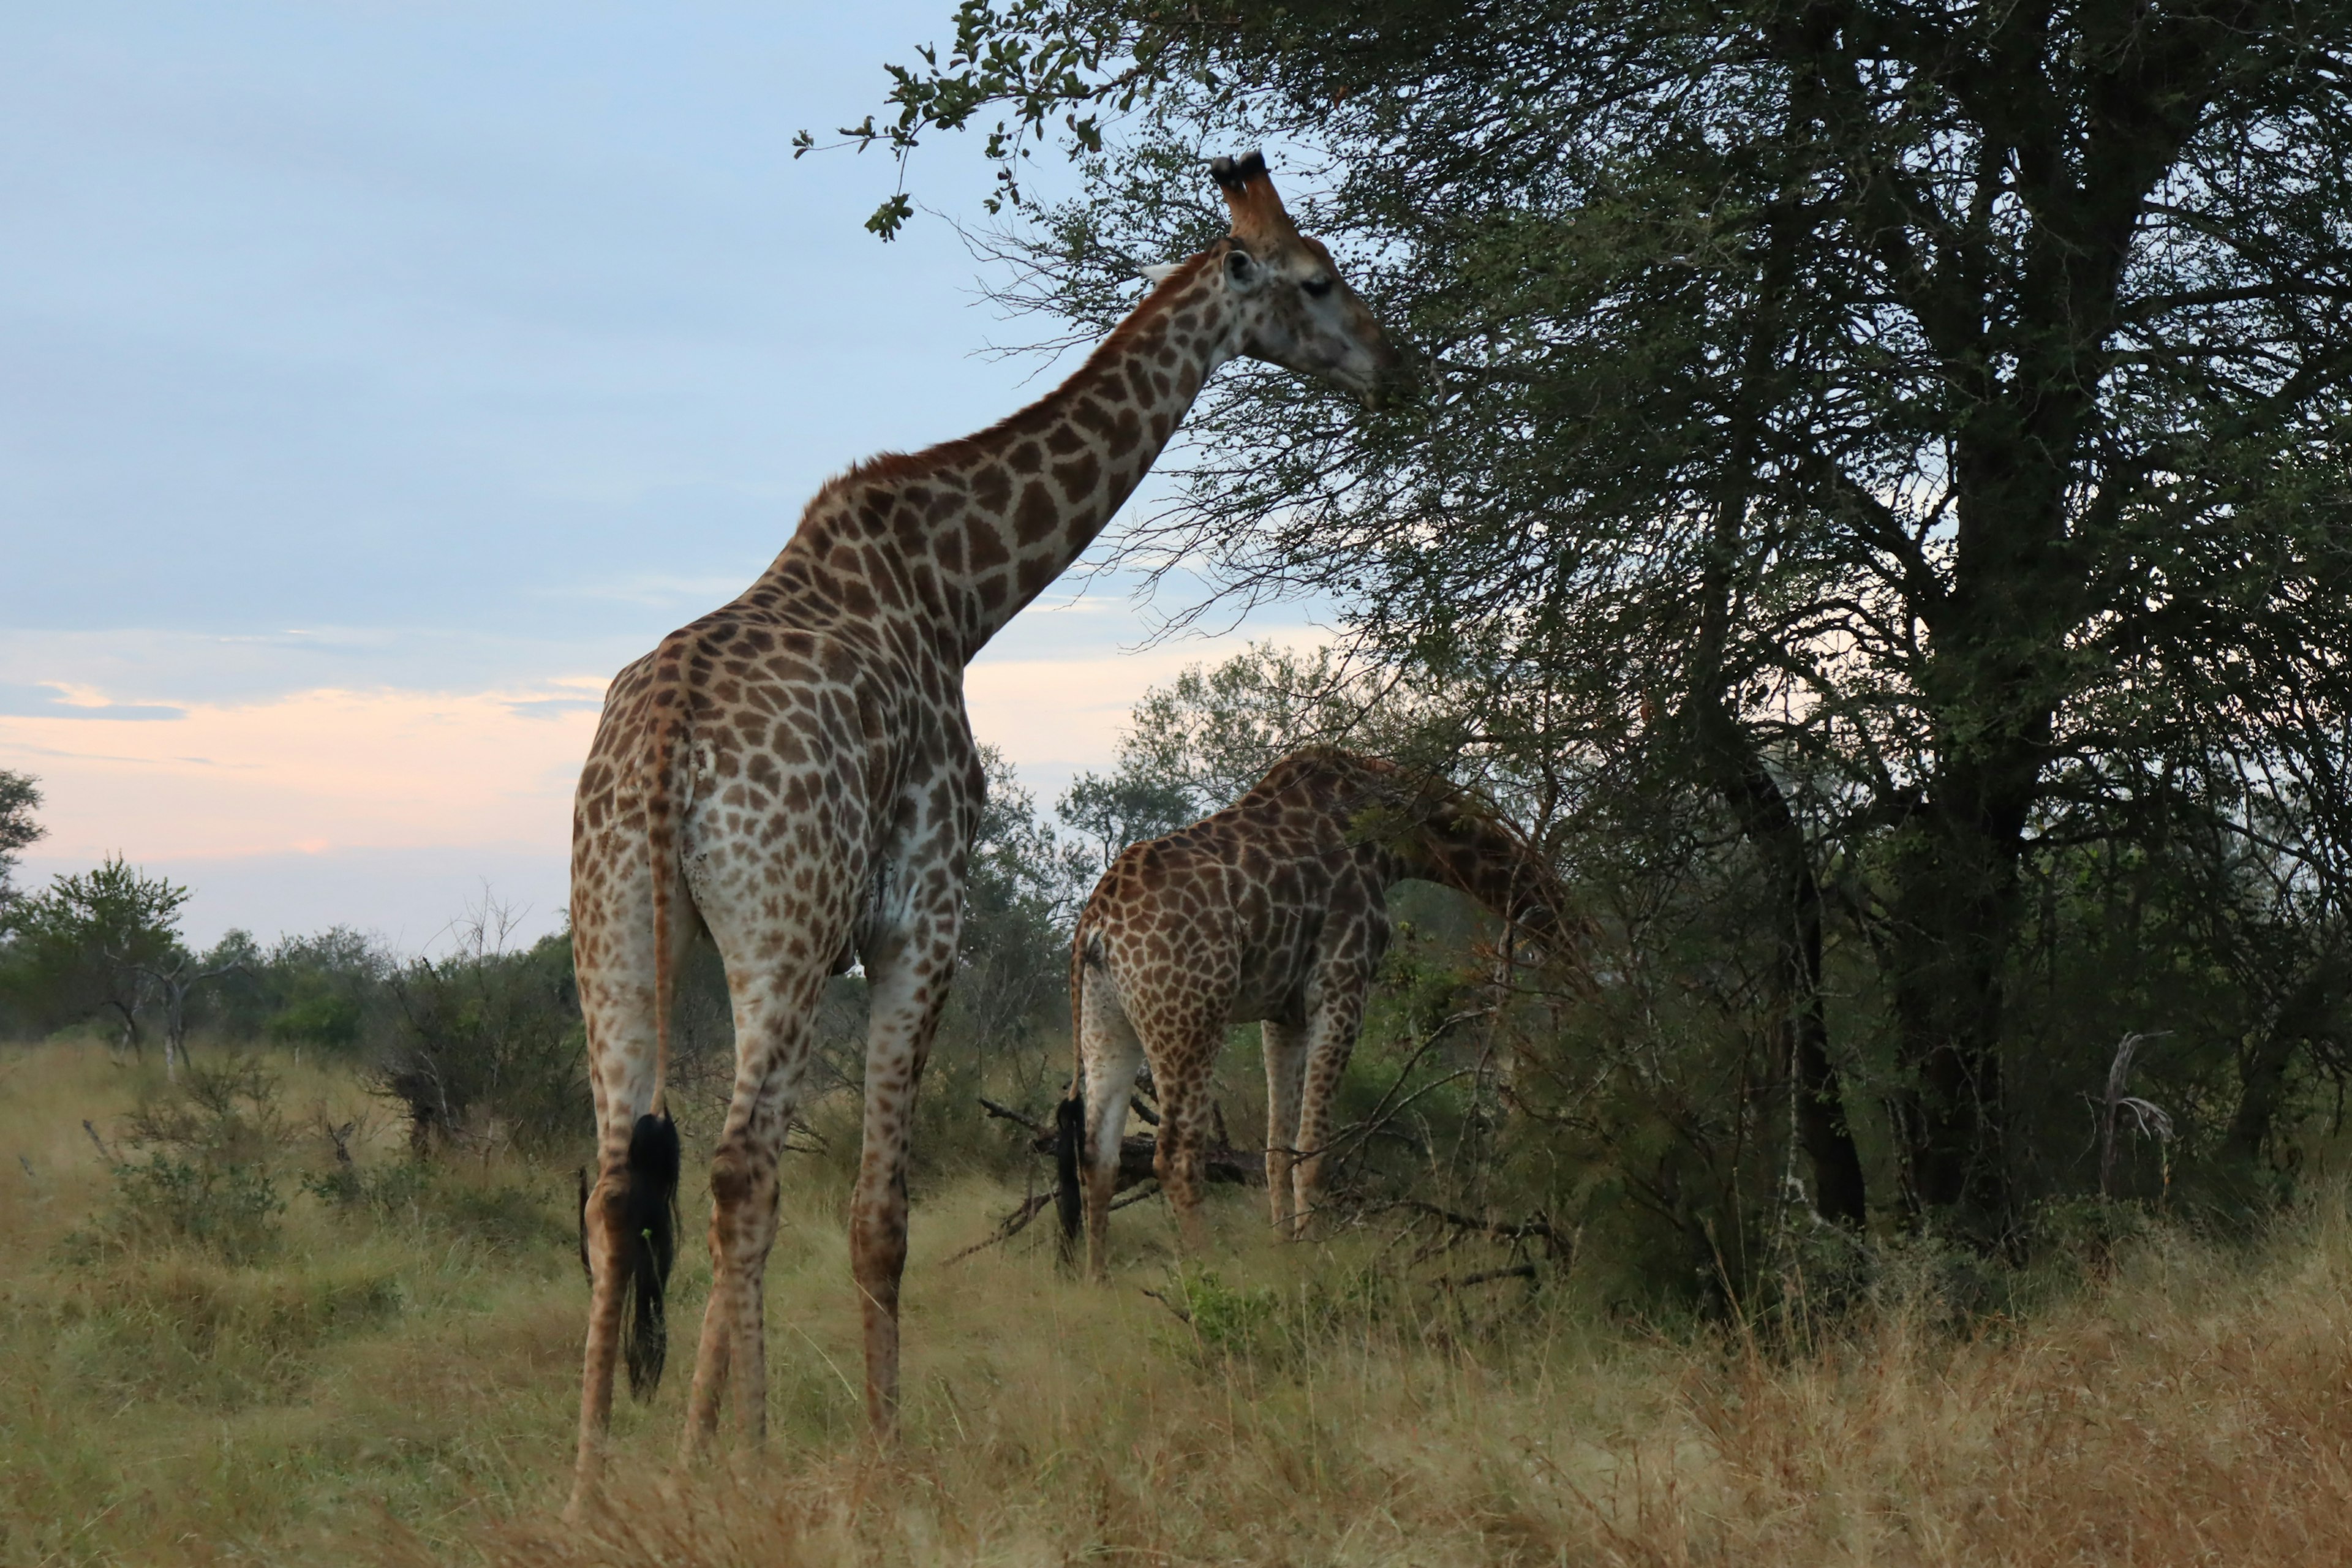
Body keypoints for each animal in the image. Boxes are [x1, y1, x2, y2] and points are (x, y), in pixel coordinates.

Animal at [569, 150, 1401, 1504]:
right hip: (777, 927)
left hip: (619, 937)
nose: (1400, 365)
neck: (960, 592)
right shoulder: (919, 918)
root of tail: (661, 747)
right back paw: (736, 1462)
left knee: (618, 1186)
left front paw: (711, 1450)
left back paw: (589, 1486)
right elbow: (881, 1214)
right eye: (1320, 278)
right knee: (742, 1170)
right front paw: (874, 1450)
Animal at [1068, 747, 1580, 1278]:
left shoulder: (1283, 1013)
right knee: (1175, 1155)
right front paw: (1315, 1254)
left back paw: (1097, 1280)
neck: (1398, 842)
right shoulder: (1341, 984)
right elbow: (1315, 1151)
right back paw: (1208, 1271)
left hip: (1106, 1023)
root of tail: (1097, 924)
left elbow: (1278, 1150)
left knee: (1097, 1155)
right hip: (1189, 1014)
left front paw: (1284, 1251)